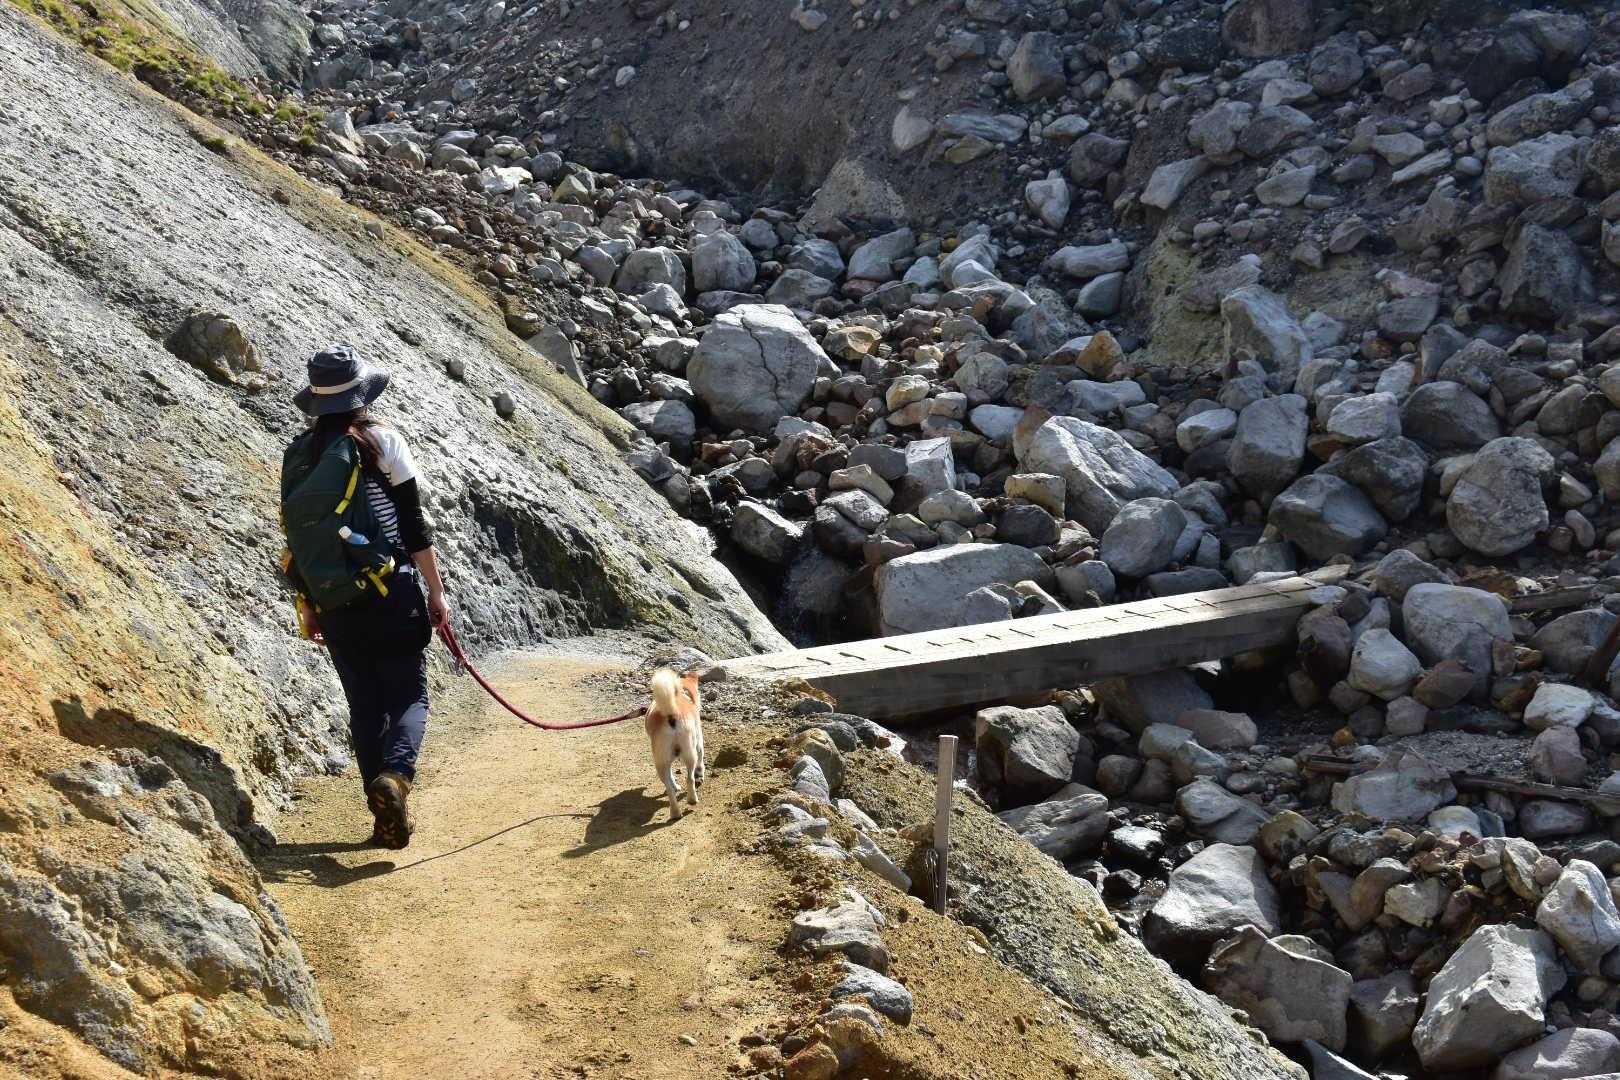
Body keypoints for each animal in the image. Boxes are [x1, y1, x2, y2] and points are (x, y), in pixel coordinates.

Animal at [645, 668, 704, 821]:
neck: (683, 694)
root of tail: (670, 713)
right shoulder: (699, 740)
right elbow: (701, 758)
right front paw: (700, 772)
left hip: (664, 761)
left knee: (672, 786)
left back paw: (677, 809)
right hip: (688, 752)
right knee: (689, 778)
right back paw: (690, 800)